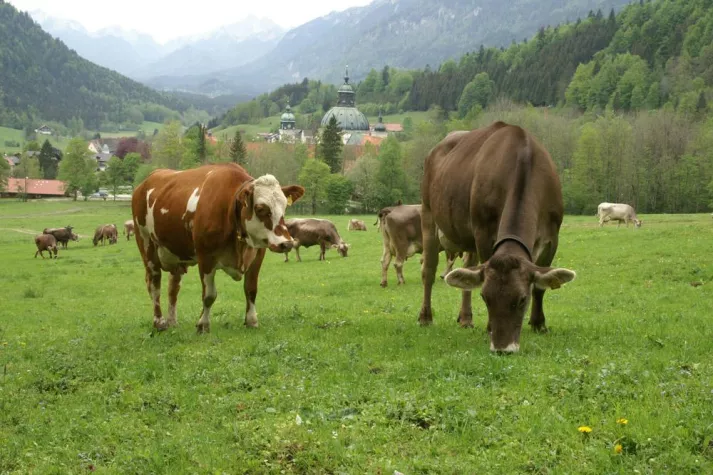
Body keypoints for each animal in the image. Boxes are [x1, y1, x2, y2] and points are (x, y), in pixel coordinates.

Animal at [131, 164, 304, 333]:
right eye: (260, 209)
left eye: (284, 207)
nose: (286, 243)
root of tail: (145, 182)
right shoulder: (205, 258)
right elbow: (209, 295)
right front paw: (203, 325)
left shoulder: (257, 254)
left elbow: (251, 289)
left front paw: (251, 321)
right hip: (147, 245)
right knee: (154, 284)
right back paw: (159, 322)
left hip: (176, 254)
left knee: (173, 288)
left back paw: (172, 321)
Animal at [419, 122, 576, 353]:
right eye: (485, 298)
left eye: (522, 299)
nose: (503, 348)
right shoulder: (483, 232)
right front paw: (489, 327)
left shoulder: (552, 237)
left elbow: (541, 286)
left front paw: (539, 323)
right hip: (428, 214)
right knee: (428, 270)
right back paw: (425, 317)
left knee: (468, 269)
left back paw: (466, 318)